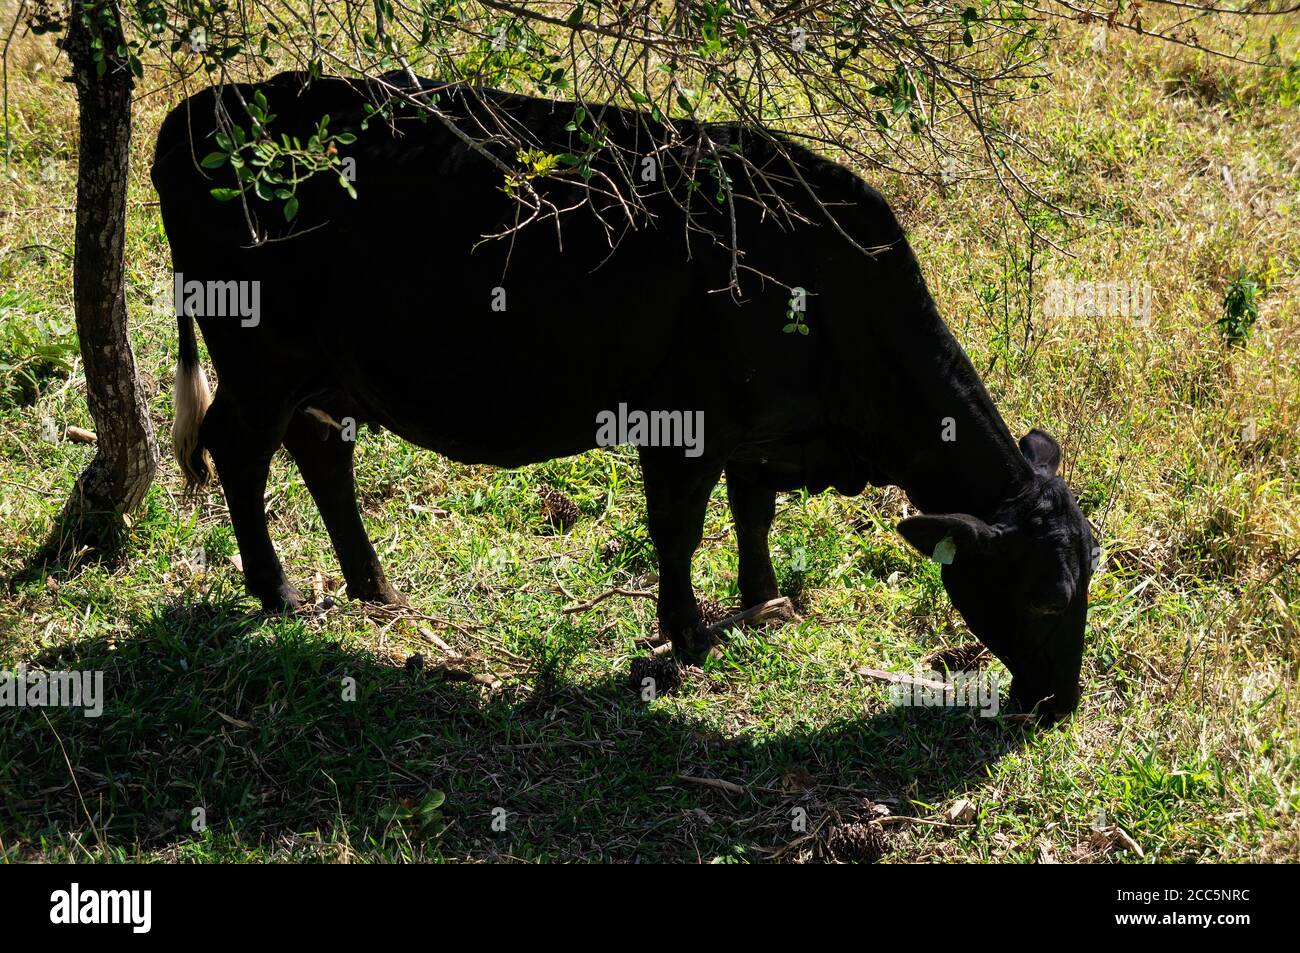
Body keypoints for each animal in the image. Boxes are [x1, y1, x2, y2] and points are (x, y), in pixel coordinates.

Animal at [151, 71, 1095, 717]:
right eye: (1047, 595)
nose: (1061, 702)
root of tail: (203, 107)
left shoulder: (763, 429)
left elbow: (754, 511)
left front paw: (761, 598)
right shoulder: (683, 422)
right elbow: (677, 531)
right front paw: (687, 636)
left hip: (329, 369)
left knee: (320, 448)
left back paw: (371, 584)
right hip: (260, 355)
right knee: (239, 448)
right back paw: (275, 589)